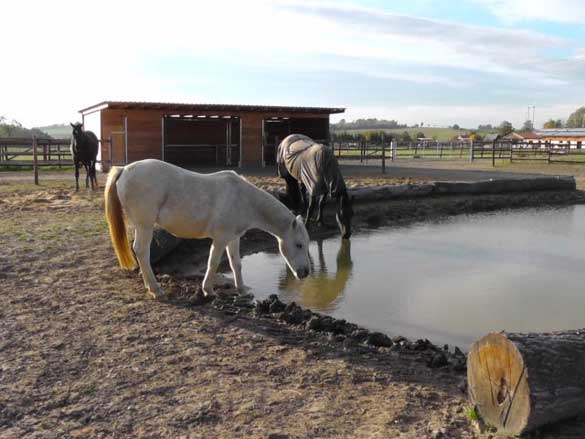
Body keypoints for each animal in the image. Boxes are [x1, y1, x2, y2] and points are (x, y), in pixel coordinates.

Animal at [104, 160, 310, 300]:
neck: (244, 199)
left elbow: (236, 264)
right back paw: (156, 290)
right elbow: (213, 262)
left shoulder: (233, 238)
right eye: (299, 245)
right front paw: (208, 290)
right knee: (141, 251)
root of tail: (124, 169)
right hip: (145, 226)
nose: (305, 273)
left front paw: (242, 289)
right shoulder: (220, 239)